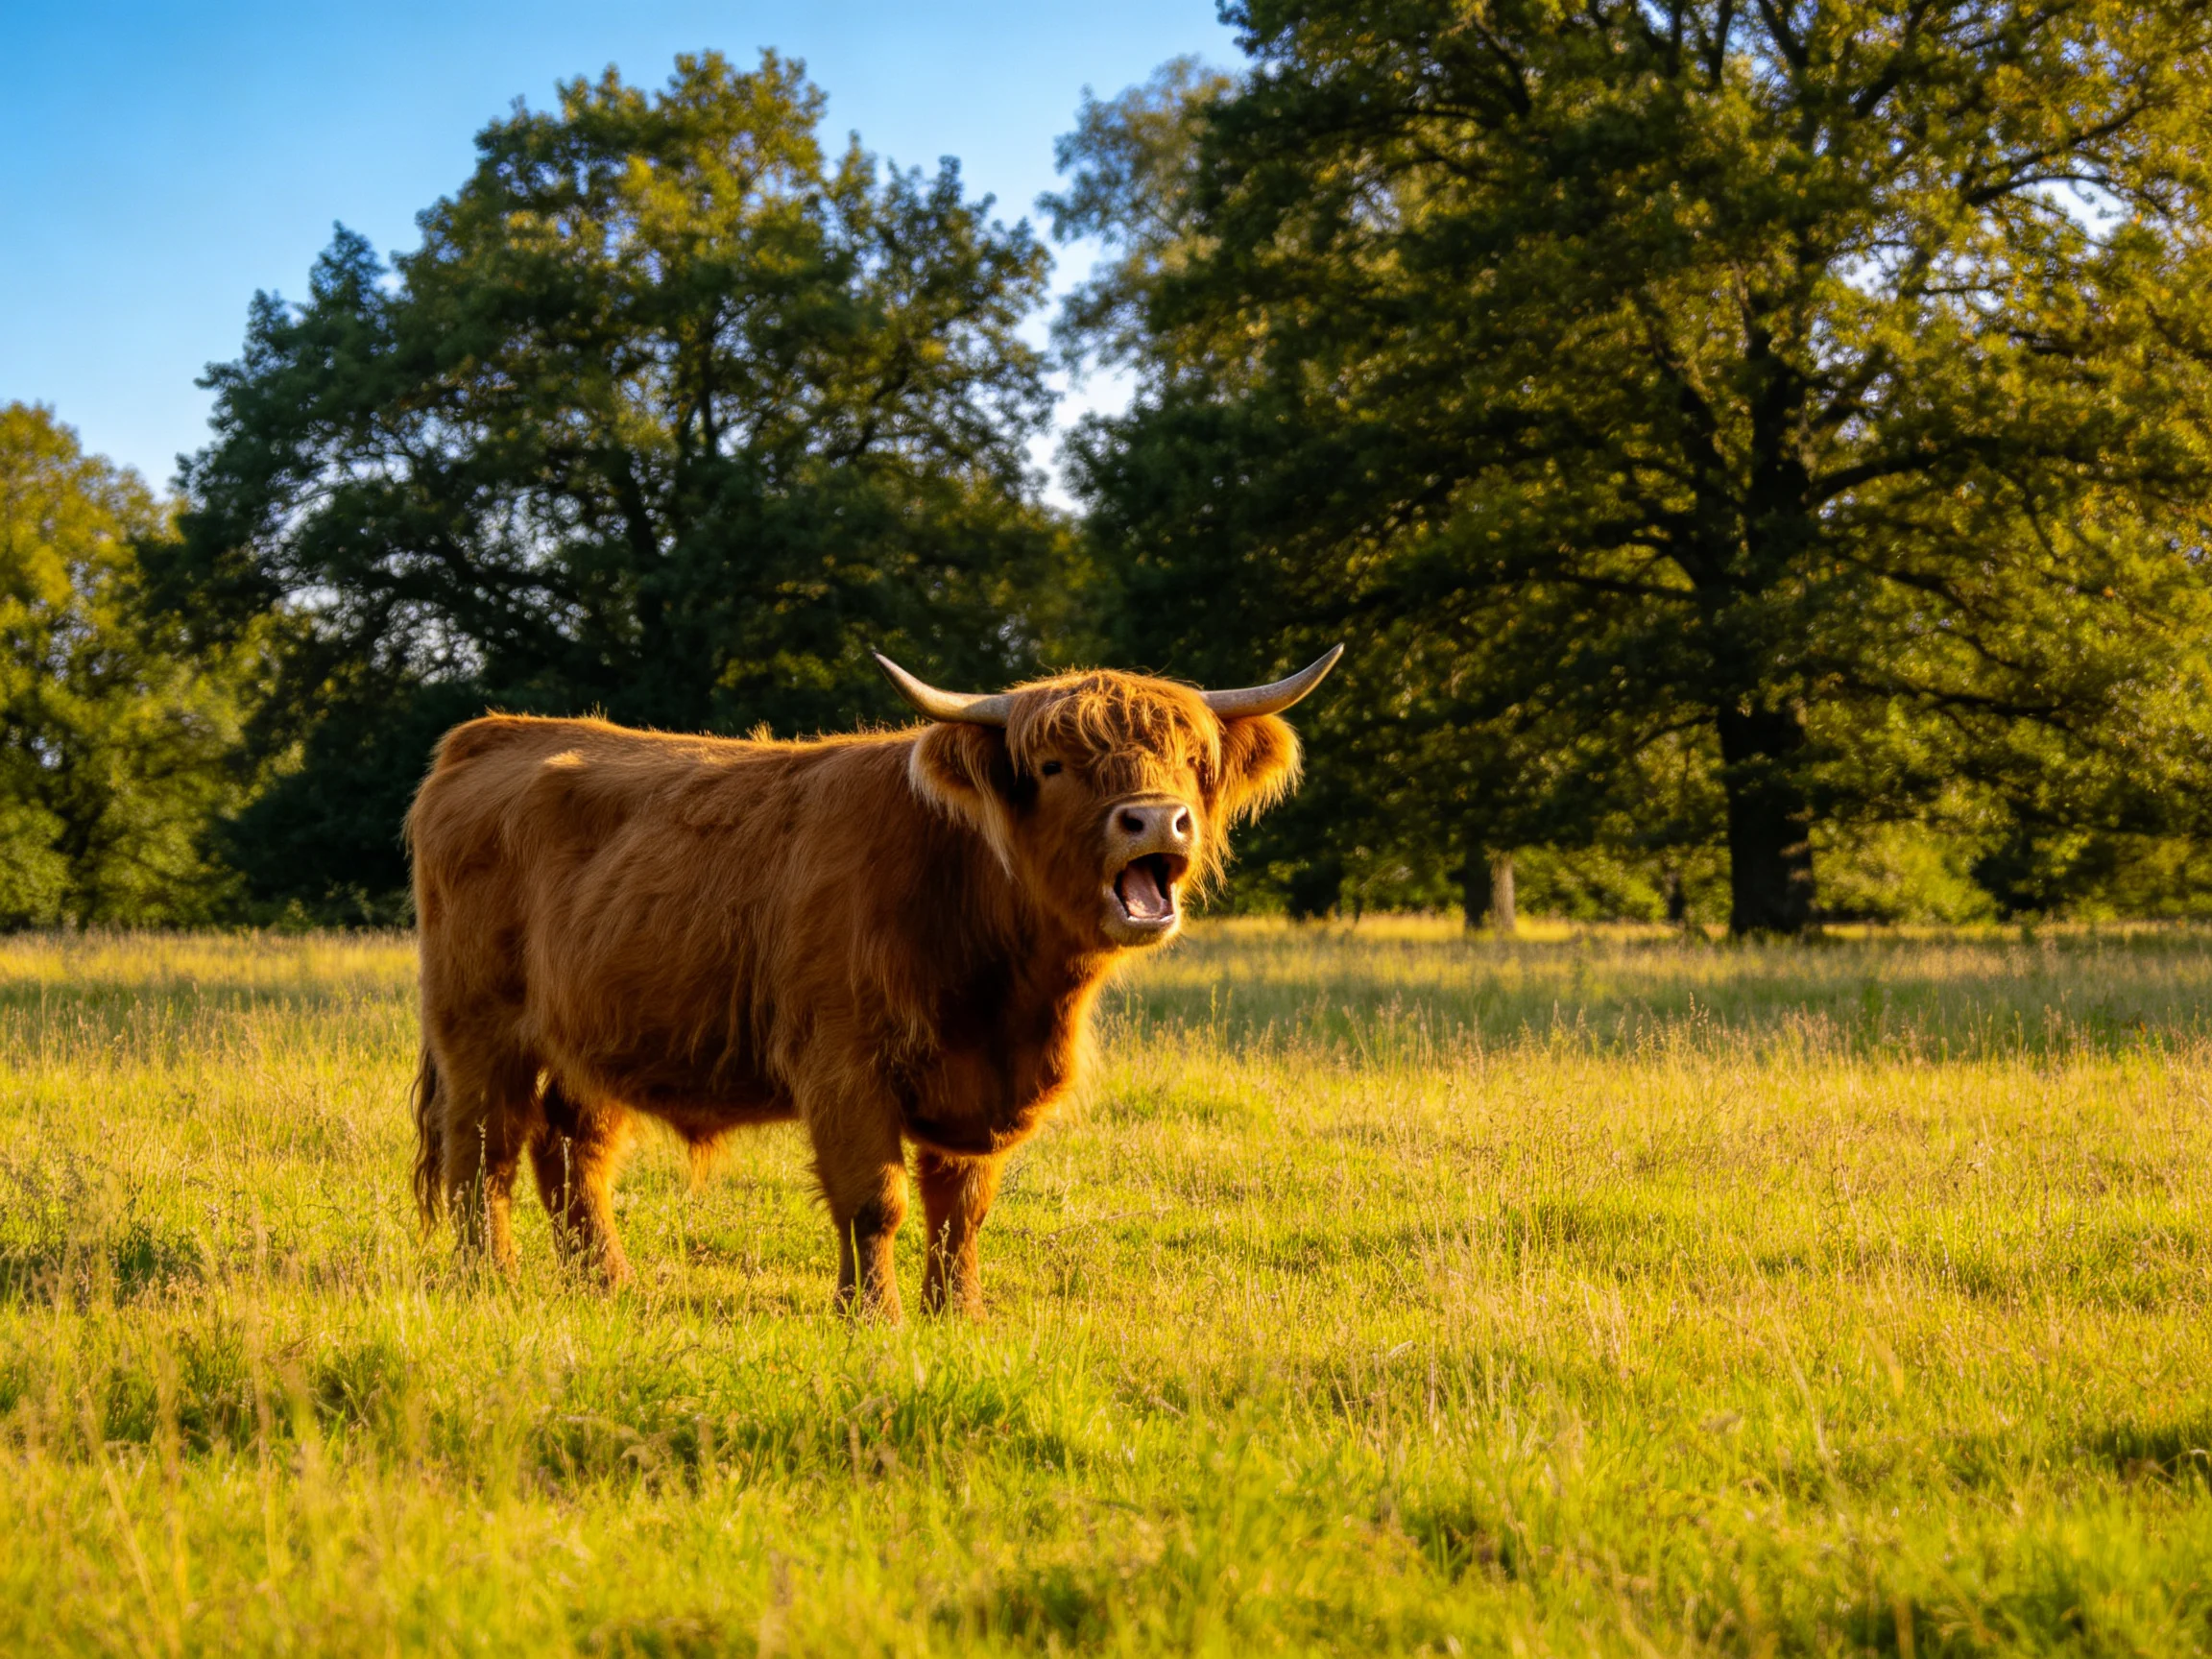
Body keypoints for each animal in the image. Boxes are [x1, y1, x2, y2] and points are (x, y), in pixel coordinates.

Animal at [404, 647, 1340, 1318]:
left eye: (1192, 760)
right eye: (1053, 767)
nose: (1155, 820)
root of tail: (488, 733)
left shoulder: (976, 1086)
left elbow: (962, 1207)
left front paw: (956, 1311)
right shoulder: (845, 1066)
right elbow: (874, 1200)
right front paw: (873, 1315)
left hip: (589, 1038)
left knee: (573, 1152)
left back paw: (607, 1284)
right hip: (478, 1029)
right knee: (481, 1148)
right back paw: (488, 1279)